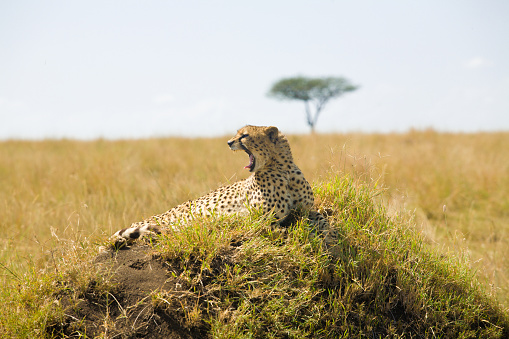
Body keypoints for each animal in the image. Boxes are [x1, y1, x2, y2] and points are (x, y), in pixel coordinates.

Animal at [111, 126, 334, 251]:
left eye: (244, 135)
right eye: (237, 134)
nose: (228, 142)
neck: (282, 168)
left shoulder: (306, 210)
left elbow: (322, 218)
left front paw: (329, 233)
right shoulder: (259, 218)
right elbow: (278, 228)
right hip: (166, 220)